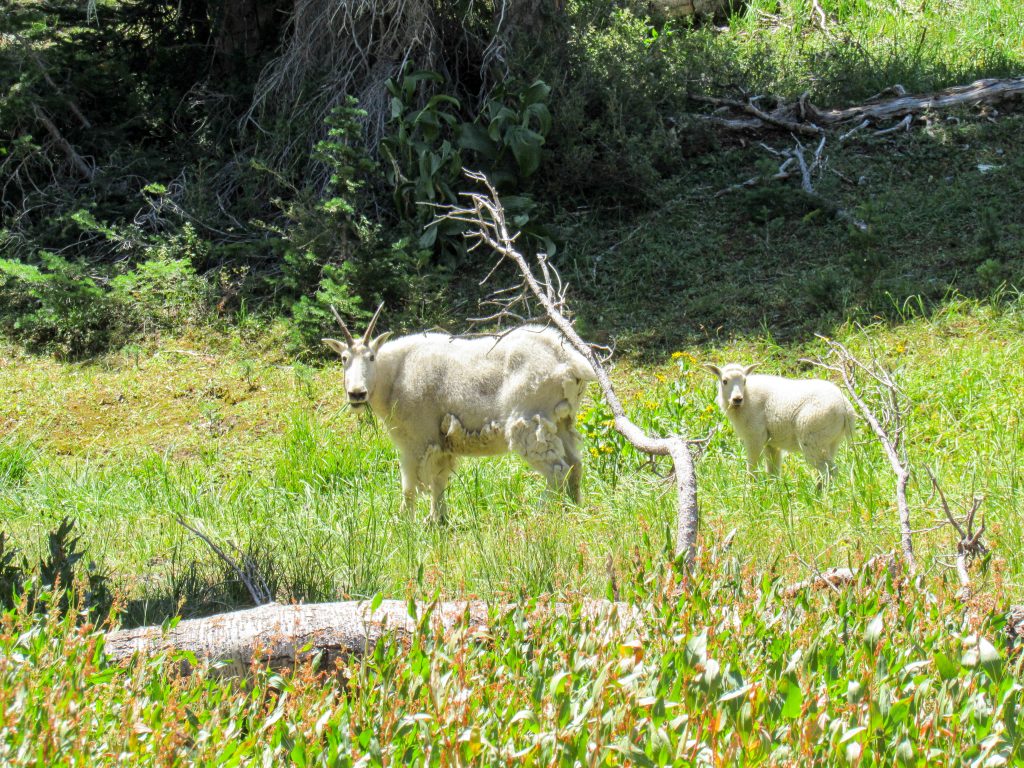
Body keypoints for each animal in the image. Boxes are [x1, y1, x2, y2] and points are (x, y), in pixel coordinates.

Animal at [323, 307, 598, 524]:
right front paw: (437, 519)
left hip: (530, 420)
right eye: (344, 358)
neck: (393, 375)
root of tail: (569, 361)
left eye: (371, 357)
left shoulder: (417, 440)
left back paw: (543, 512)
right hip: (561, 420)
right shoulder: (441, 443)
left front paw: (404, 523)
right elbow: (439, 481)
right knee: (575, 464)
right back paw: (574, 508)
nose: (356, 393)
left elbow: (410, 486)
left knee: (557, 470)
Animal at [704, 362, 856, 481]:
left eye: (744, 381)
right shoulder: (771, 443)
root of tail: (847, 410)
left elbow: (752, 467)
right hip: (831, 441)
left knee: (828, 470)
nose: (737, 399)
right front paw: (774, 492)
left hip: (813, 438)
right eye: (724, 381)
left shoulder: (755, 436)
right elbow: (773, 471)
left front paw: (751, 490)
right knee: (827, 470)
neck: (746, 399)